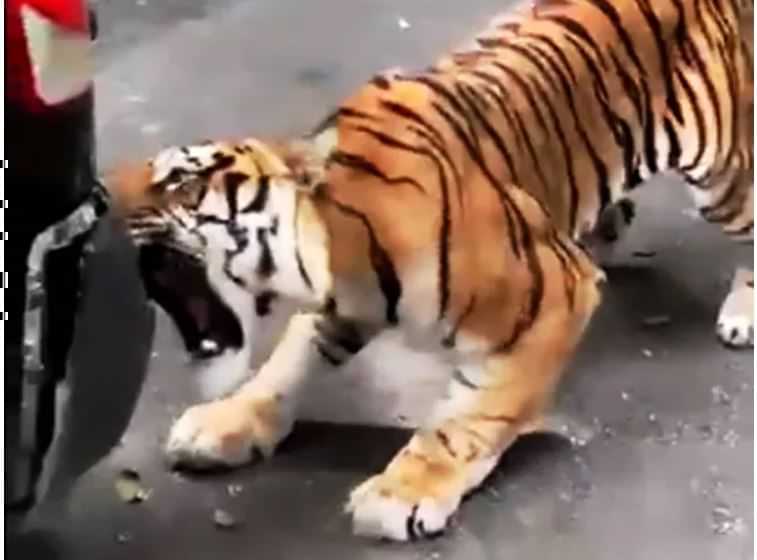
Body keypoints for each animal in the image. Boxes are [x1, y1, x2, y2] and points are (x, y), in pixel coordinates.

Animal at [108, 0, 753, 541]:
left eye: (179, 181)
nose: (101, 195)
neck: (337, 245)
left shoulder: (555, 295)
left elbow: (470, 416)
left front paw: (403, 492)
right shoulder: (339, 309)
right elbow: (283, 368)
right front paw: (226, 424)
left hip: (722, 175)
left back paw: (742, 311)